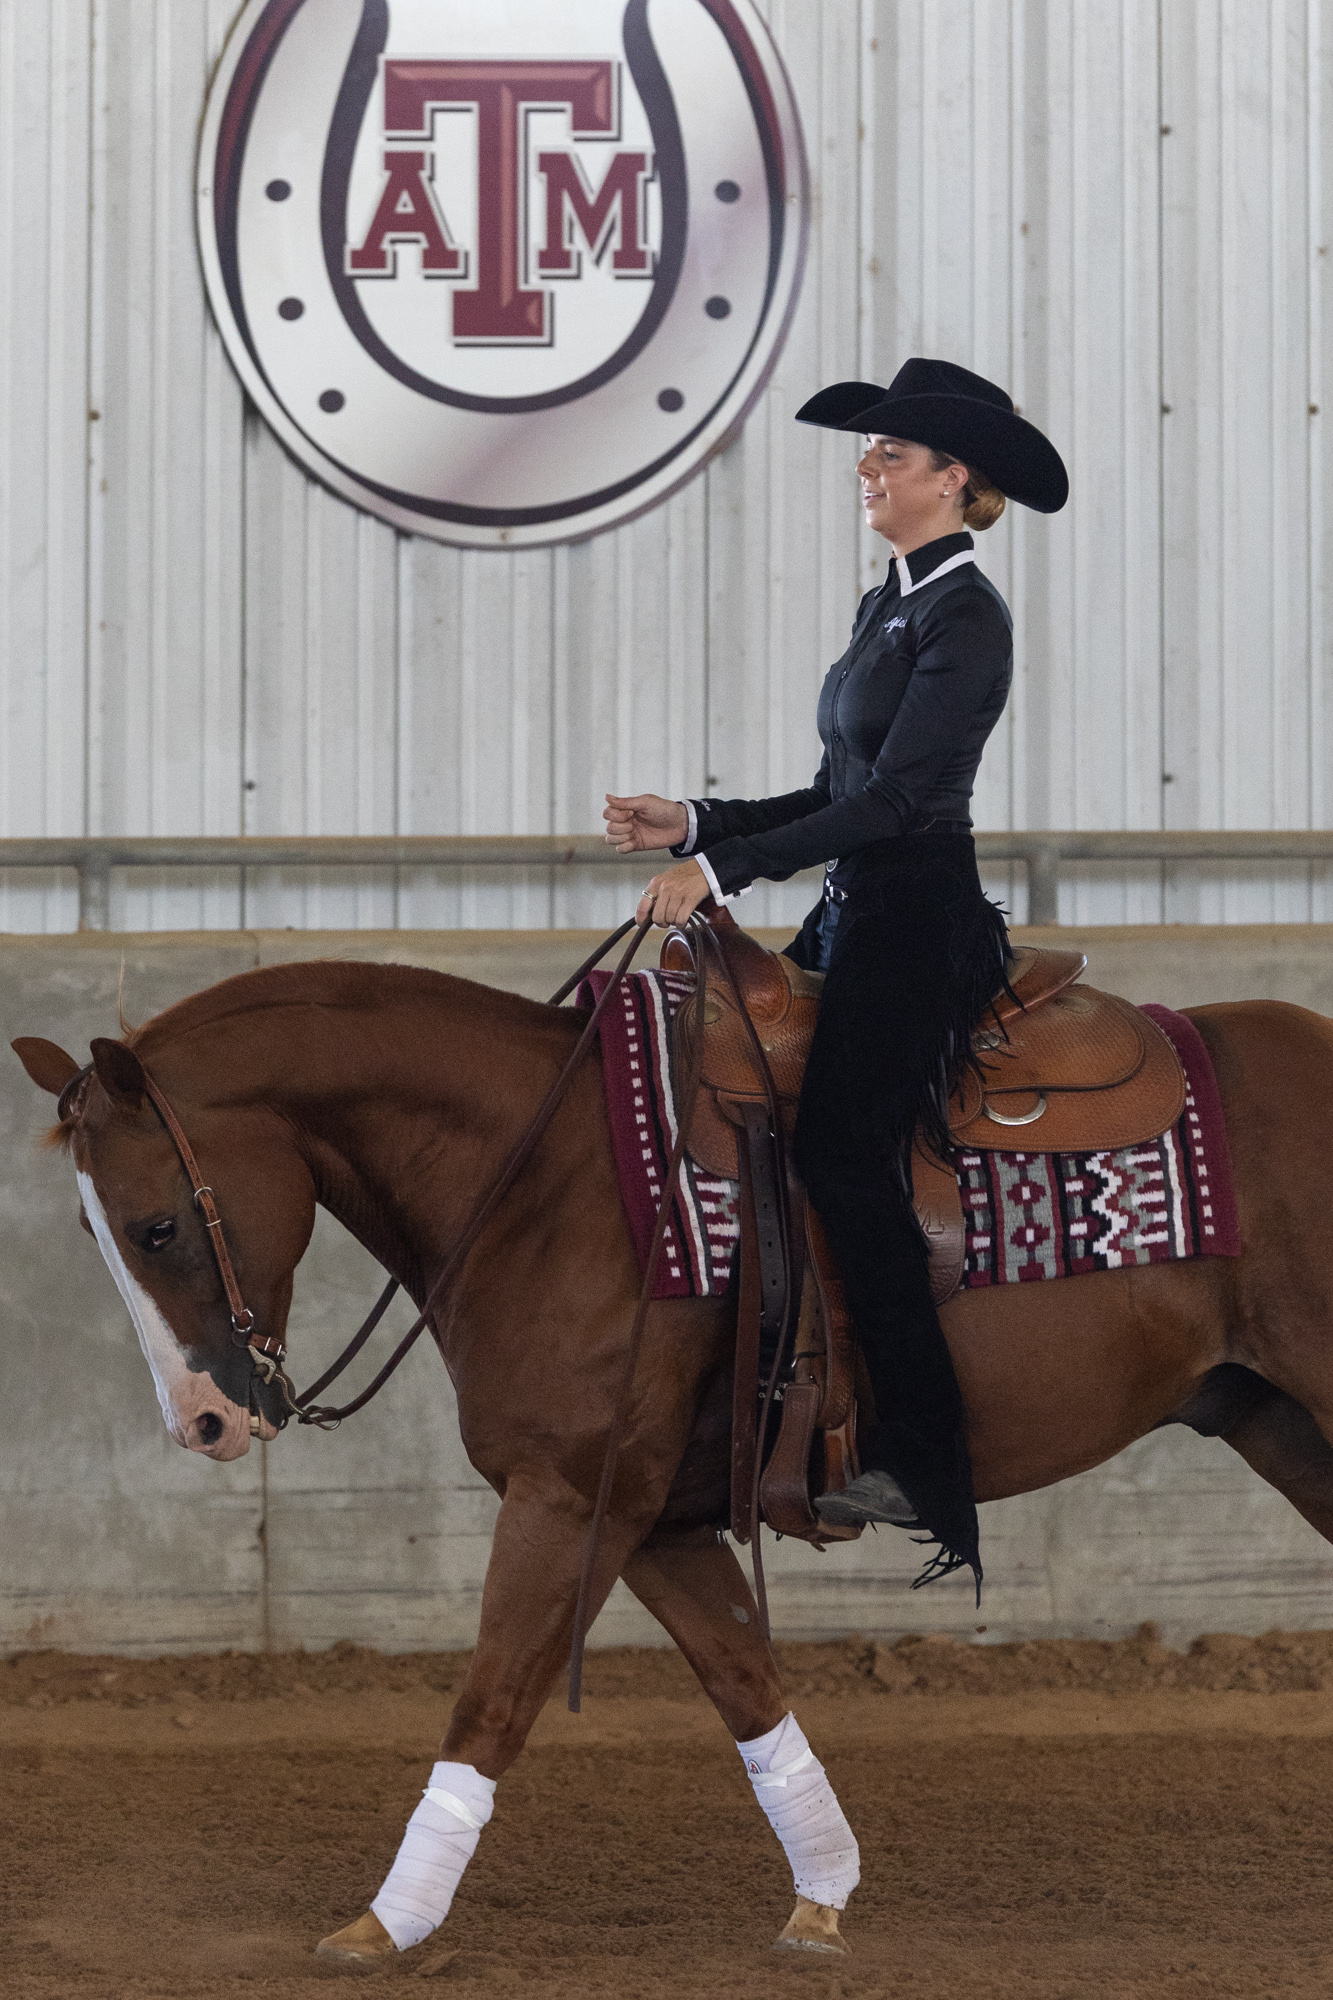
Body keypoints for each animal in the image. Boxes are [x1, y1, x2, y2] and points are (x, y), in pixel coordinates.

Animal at [13, 960, 1333, 1960]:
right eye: (92, 1226)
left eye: (156, 1224)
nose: (205, 1422)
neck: (551, 1179)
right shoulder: (655, 1516)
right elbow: (745, 1681)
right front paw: (822, 1898)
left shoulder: (565, 1496)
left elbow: (492, 1698)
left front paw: (385, 1923)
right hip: (1277, 1421)